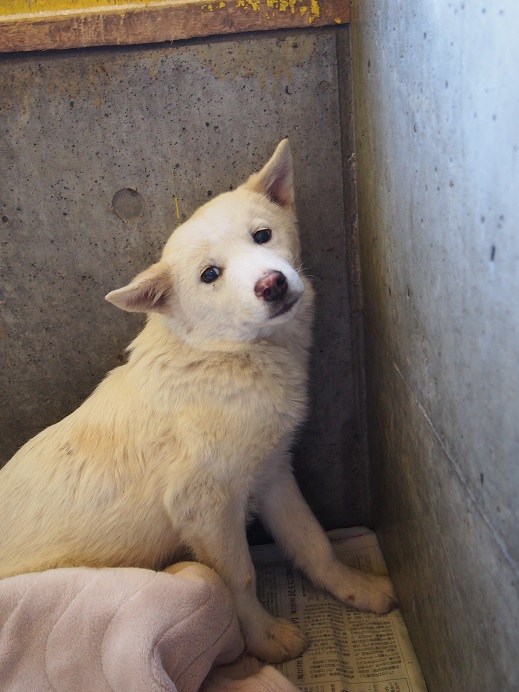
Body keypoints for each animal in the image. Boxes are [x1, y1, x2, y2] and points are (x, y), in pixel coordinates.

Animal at [0, 139, 394, 660]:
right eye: (210, 275)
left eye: (263, 235)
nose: (273, 284)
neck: (221, 355)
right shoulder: (204, 505)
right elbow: (237, 579)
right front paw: (263, 640)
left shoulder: (271, 472)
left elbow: (313, 541)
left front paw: (356, 588)